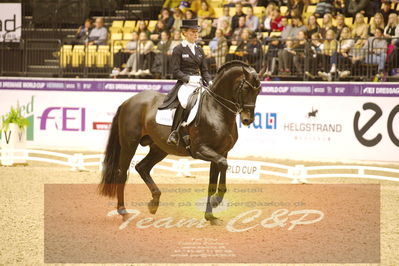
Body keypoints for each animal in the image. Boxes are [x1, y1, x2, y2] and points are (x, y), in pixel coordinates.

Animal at [99, 59, 262, 224]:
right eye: (246, 88)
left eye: (259, 90)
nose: (248, 120)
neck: (216, 110)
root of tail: (129, 101)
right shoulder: (201, 150)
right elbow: (223, 164)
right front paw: (216, 201)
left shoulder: (221, 152)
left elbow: (214, 178)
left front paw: (210, 216)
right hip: (129, 144)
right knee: (122, 174)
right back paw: (124, 211)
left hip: (159, 149)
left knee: (142, 167)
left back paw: (154, 203)